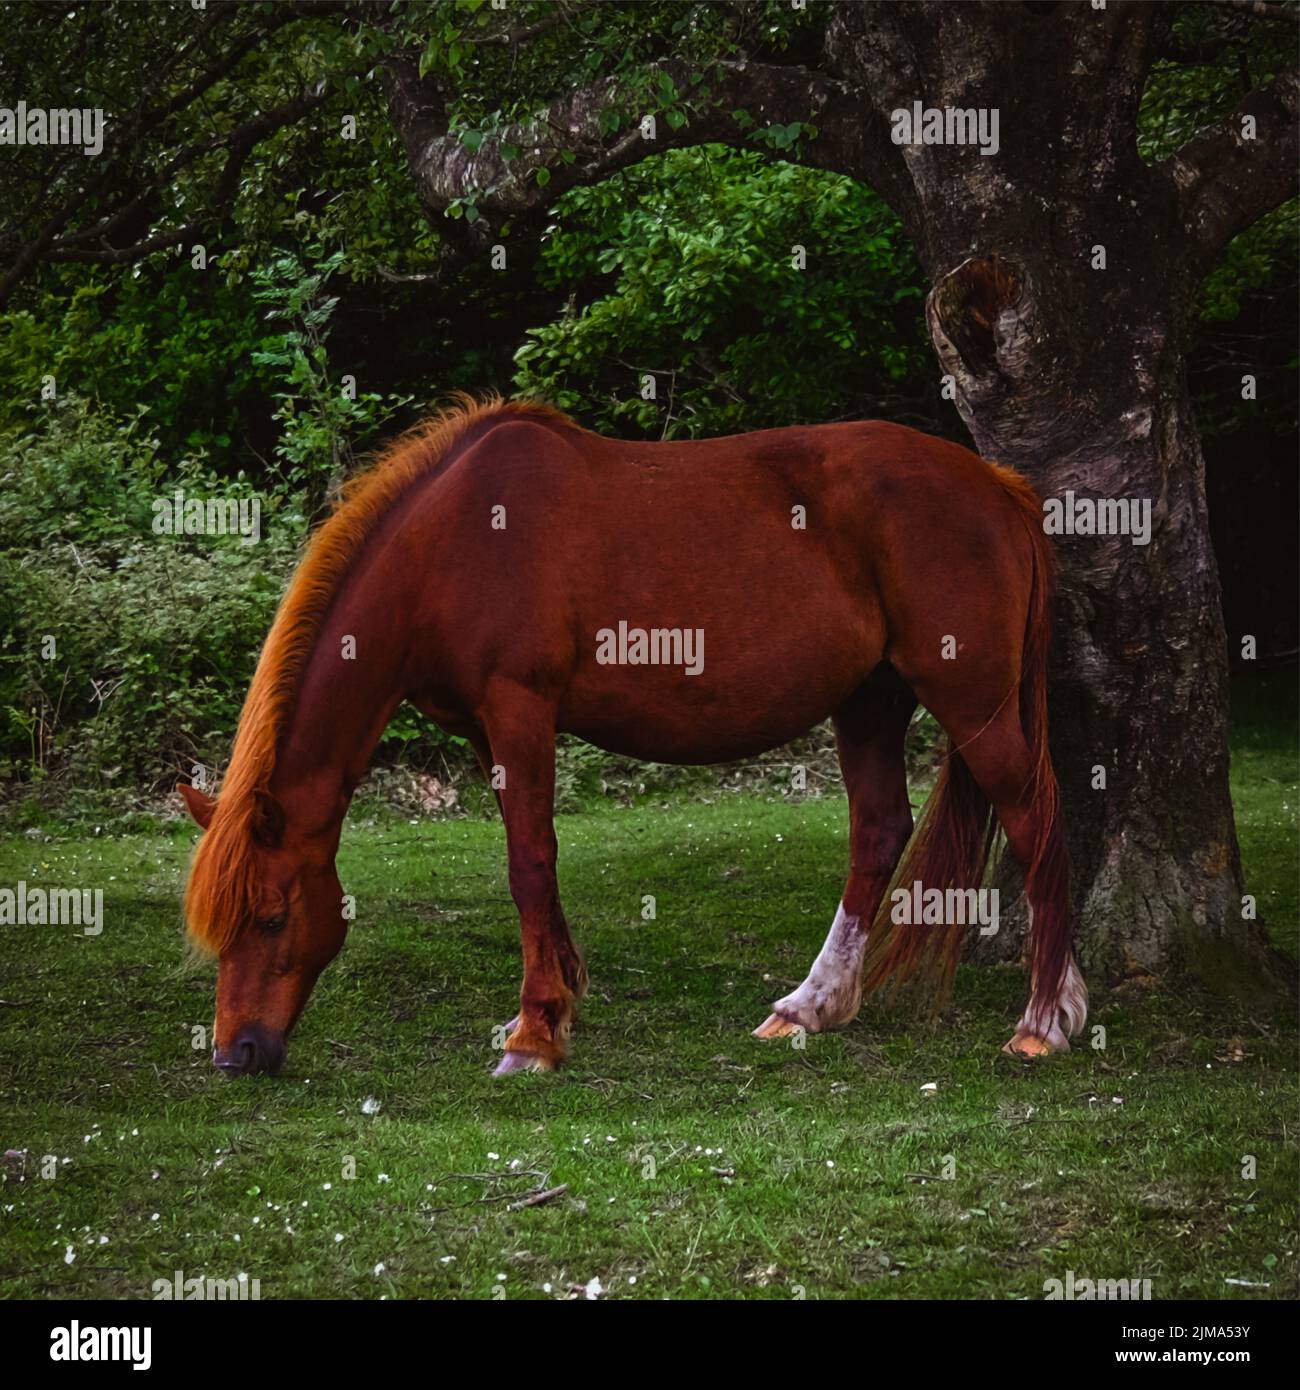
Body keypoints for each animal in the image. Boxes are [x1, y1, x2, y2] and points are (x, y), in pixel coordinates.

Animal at [175, 397, 1090, 1078]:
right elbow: (532, 860)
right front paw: (557, 999)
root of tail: (996, 484)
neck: (455, 541)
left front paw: (534, 1035)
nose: (235, 1055)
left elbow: (528, 861)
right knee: (879, 832)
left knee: (1037, 822)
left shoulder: (520, 710)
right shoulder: (486, 731)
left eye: (270, 917)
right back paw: (811, 1006)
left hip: (971, 703)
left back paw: (1045, 1019)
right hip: (870, 702)